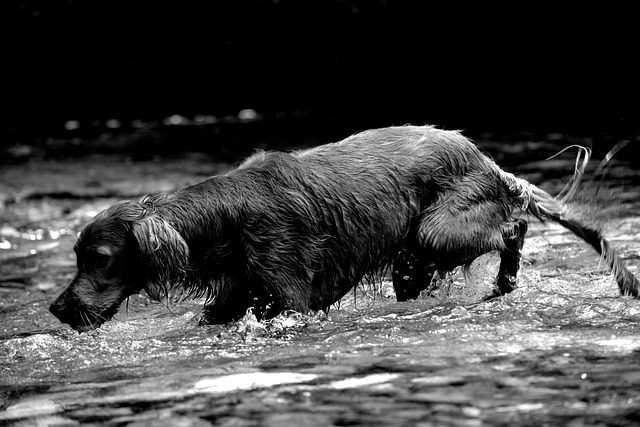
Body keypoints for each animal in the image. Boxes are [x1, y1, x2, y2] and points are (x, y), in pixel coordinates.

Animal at [47, 125, 636, 332]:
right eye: (76, 256)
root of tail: (486, 159)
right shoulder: (235, 298)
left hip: (438, 229)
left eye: (99, 258)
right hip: (411, 260)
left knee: (513, 228)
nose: (56, 308)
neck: (228, 217)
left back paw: (504, 283)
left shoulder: (291, 297)